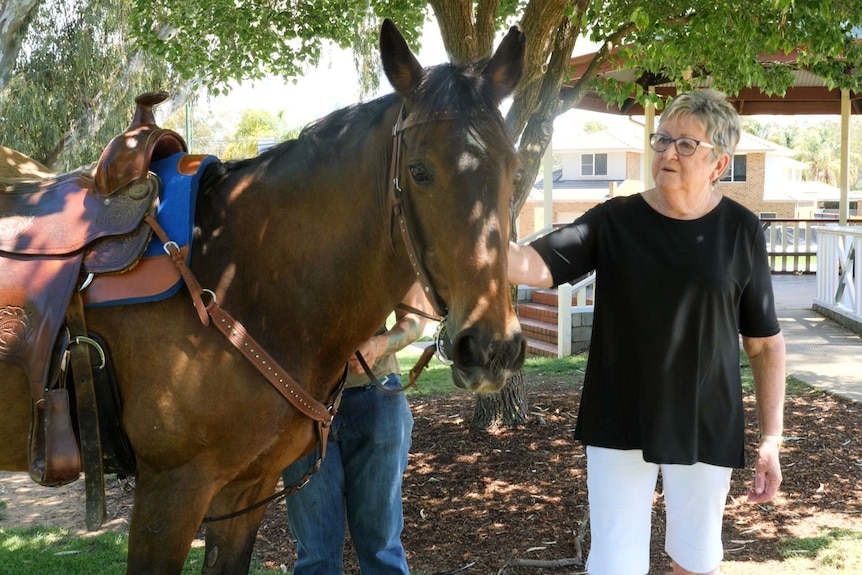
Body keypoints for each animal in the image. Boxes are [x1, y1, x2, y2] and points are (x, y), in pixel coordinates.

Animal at [0, 18, 528, 575]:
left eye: (514, 170)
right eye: (420, 171)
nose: (492, 347)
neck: (245, 273)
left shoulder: (245, 490)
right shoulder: (170, 490)